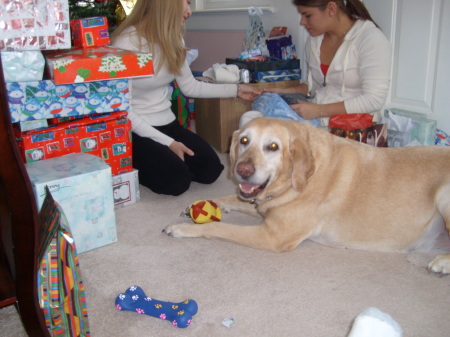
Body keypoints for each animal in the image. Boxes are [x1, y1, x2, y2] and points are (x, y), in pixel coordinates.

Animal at [164, 117, 450, 274]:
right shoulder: (260, 205)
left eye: (273, 147)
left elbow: (220, 228)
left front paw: (181, 228)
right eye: (244, 140)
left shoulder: (272, 236)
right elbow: (231, 199)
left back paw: (441, 263)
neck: (294, 182)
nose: (242, 170)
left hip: (444, 196)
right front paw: (195, 207)